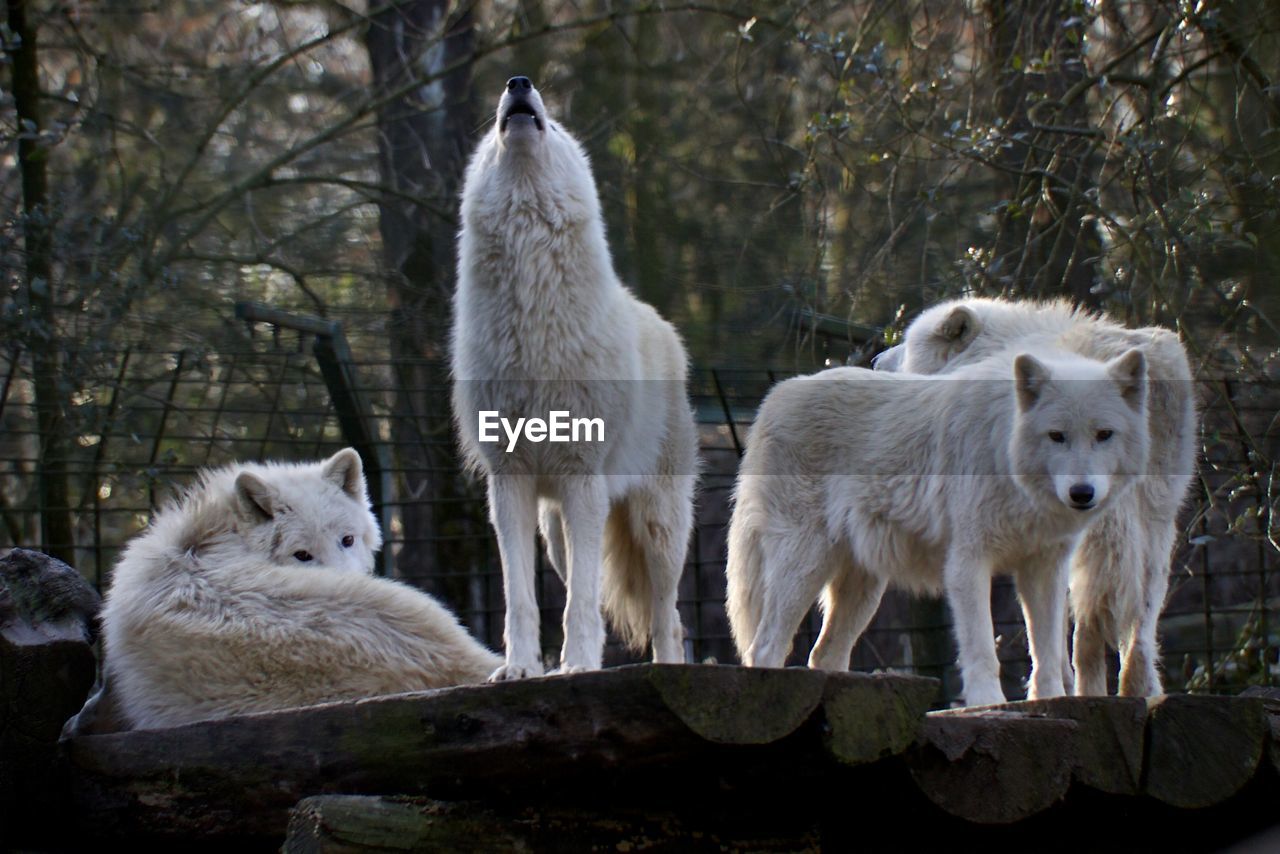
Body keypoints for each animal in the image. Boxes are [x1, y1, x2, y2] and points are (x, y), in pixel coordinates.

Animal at [453, 78, 696, 681]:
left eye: (557, 127)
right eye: (496, 125)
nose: (518, 82)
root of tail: (661, 324)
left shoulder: (581, 476)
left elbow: (582, 604)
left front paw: (580, 665)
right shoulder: (509, 483)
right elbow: (522, 599)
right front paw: (519, 668)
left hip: (658, 528)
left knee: (669, 614)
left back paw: (668, 667)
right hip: (556, 533)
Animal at [727, 348, 1157, 706]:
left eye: (1104, 435)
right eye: (1057, 436)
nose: (1082, 493)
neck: (1005, 455)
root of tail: (775, 396)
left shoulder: (1045, 568)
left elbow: (1048, 652)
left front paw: (1050, 701)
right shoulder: (967, 563)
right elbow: (982, 649)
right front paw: (988, 704)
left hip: (864, 590)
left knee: (823, 654)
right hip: (805, 566)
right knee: (764, 647)